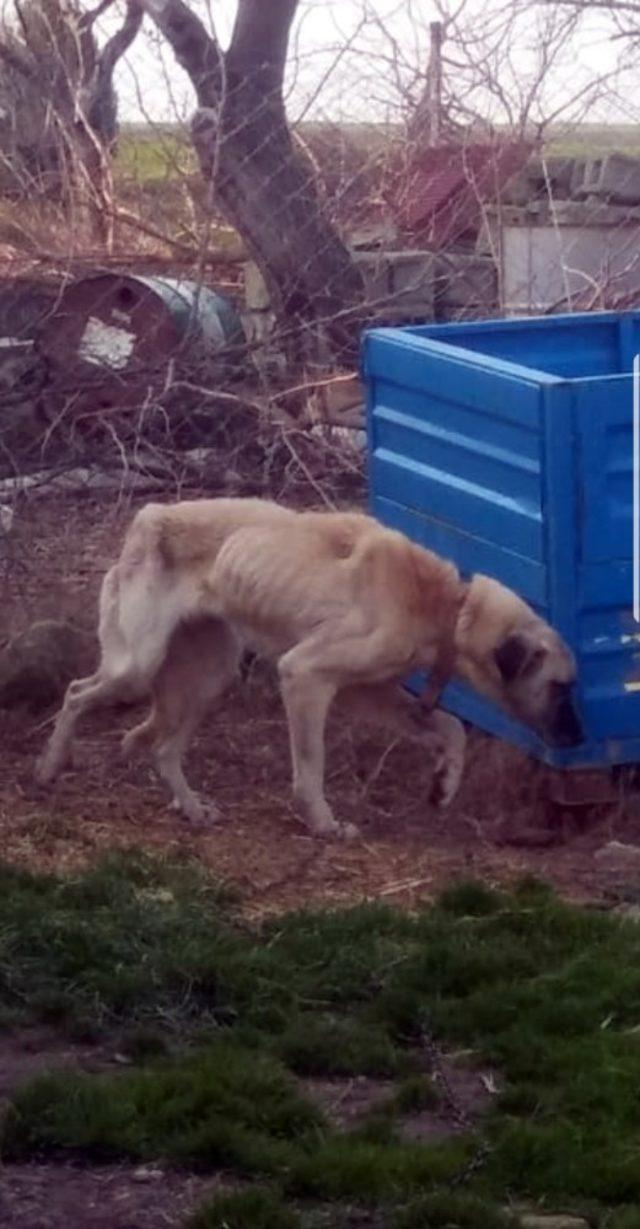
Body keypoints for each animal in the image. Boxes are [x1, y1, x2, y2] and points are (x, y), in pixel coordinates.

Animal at [36, 496, 584, 835]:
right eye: (561, 687)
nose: (579, 739)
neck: (447, 607)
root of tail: (149, 515)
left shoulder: (369, 691)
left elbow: (449, 727)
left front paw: (444, 784)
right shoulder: (304, 676)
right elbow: (310, 767)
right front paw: (322, 823)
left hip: (210, 677)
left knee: (164, 749)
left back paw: (191, 808)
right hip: (137, 665)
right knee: (76, 693)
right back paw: (49, 765)